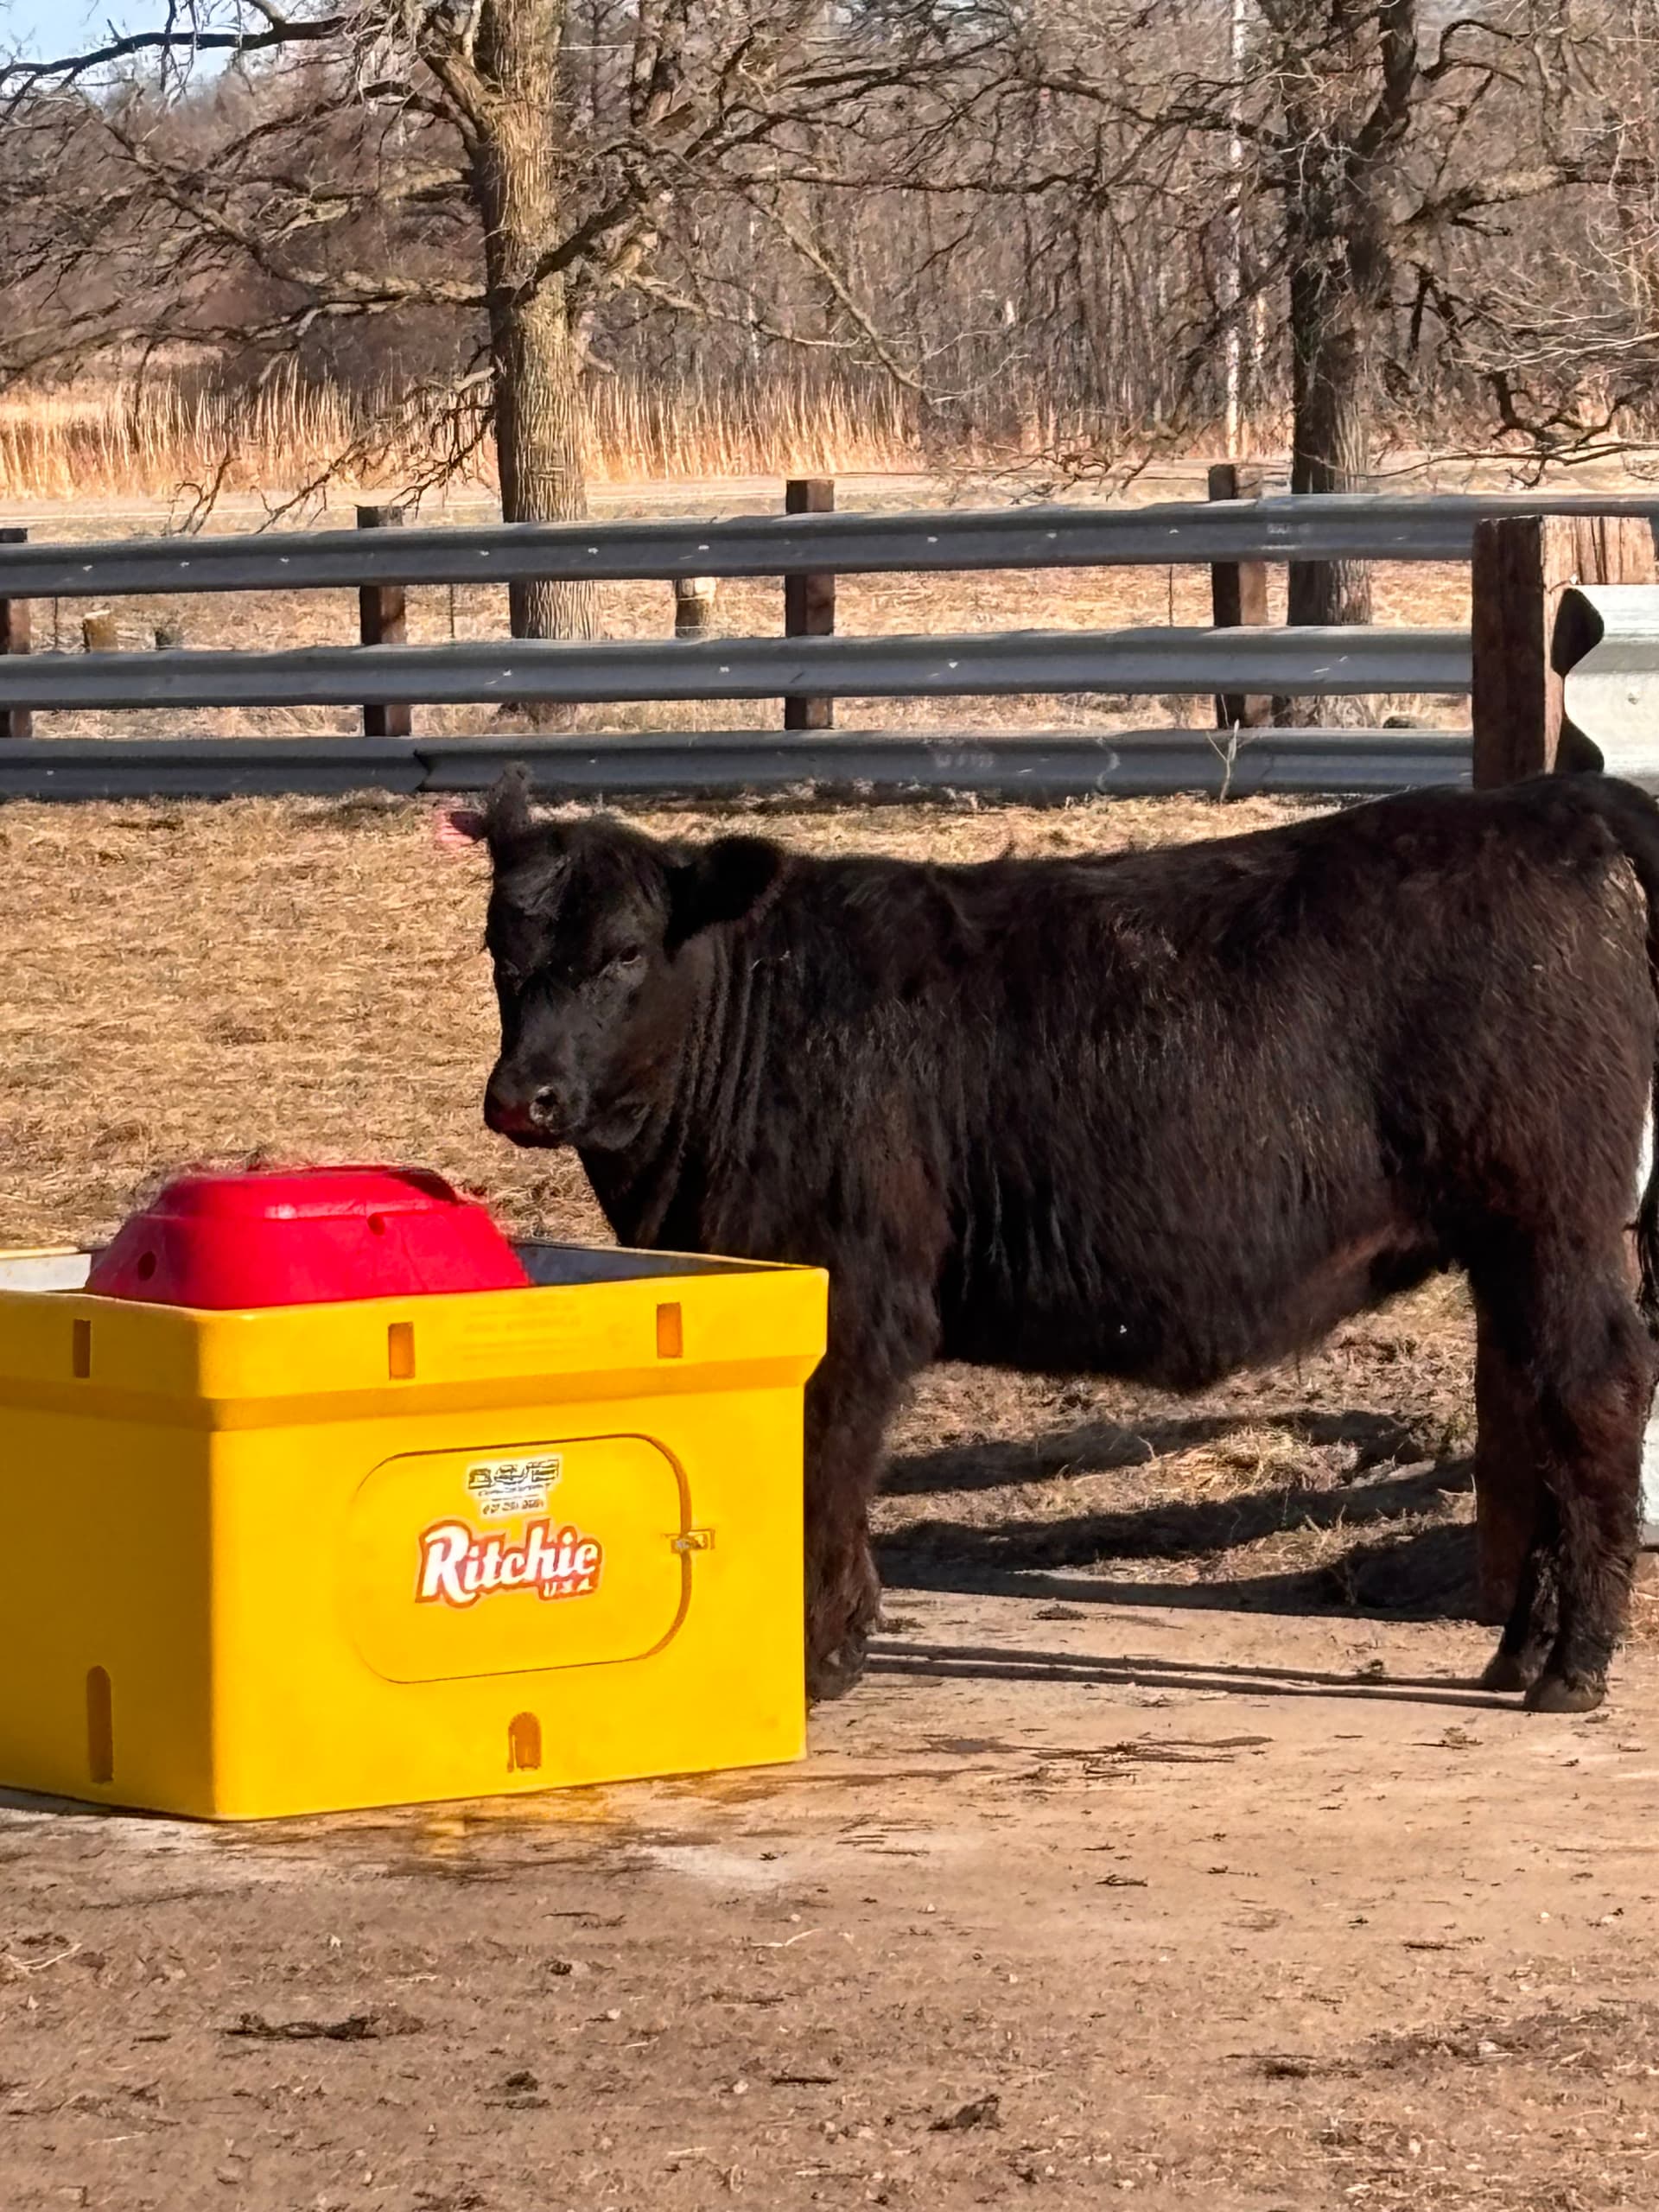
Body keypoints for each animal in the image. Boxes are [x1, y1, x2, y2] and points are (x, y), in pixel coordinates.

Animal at [446, 767, 1659, 1716]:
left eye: (624, 952)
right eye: (501, 945)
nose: (525, 1096)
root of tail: (1558, 805)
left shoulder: (855, 1307)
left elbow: (820, 1475)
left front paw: (813, 1659)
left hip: (1553, 1223)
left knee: (1594, 1395)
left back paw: (1571, 1667)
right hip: (1517, 1249)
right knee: (1541, 1405)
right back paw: (1519, 1652)